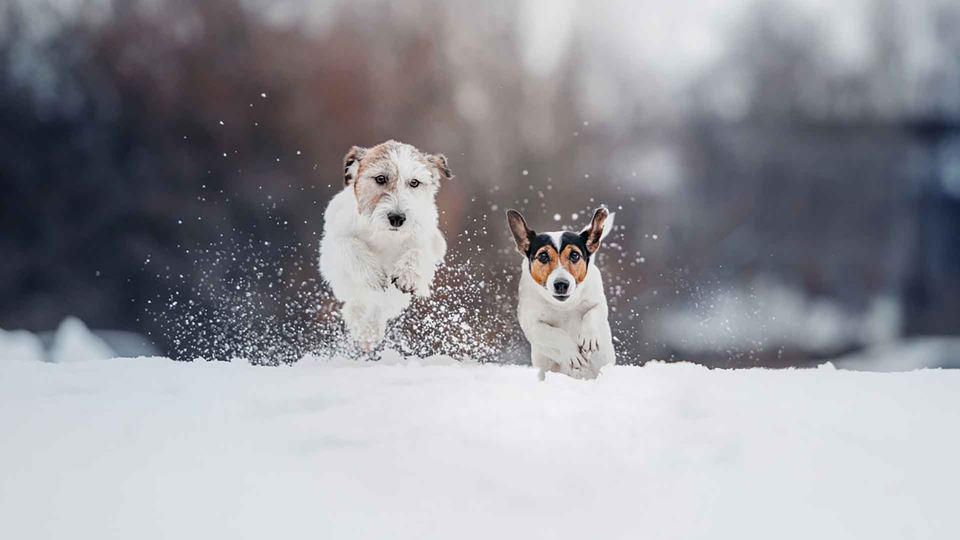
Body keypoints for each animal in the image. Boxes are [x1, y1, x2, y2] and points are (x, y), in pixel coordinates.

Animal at [316, 140, 448, 350]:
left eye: (414, 182)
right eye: (380, 178)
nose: (397, 218)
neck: (385, 235)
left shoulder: (431, 242)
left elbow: (419, 251)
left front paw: (407, 274)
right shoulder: (332, 244)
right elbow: (349, 244)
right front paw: (373, 274)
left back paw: (368, 330)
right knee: (358, 304)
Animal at [506, 207, 620, 380]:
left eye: (574, 255)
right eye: (543, 256)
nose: (561, 284)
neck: (563, 306)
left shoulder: (598, 302)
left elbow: (592, 313)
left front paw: (588, 338)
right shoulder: (533, 325)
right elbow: (555, 333)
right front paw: (572, 353)